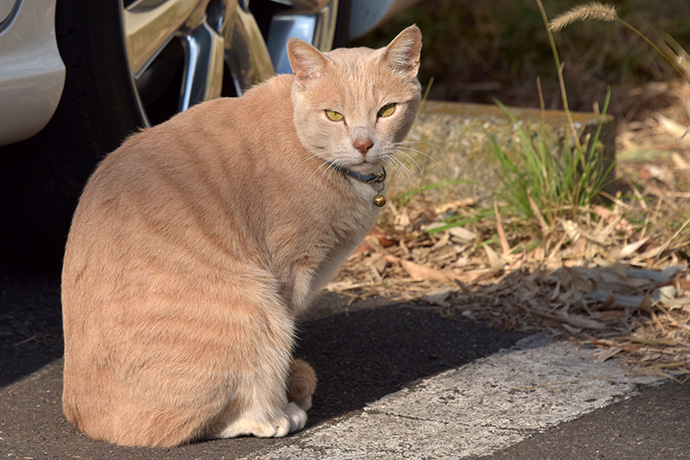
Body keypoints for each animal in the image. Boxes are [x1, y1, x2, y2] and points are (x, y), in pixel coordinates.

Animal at [63, 24, 420, 446]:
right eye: (335, 115)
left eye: (386, 111)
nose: (364, 144)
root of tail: (87, 422)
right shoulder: (287, 275)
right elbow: (282, 352)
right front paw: (285, 397)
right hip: (256, 304)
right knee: (196, 421)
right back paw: (270, 415)